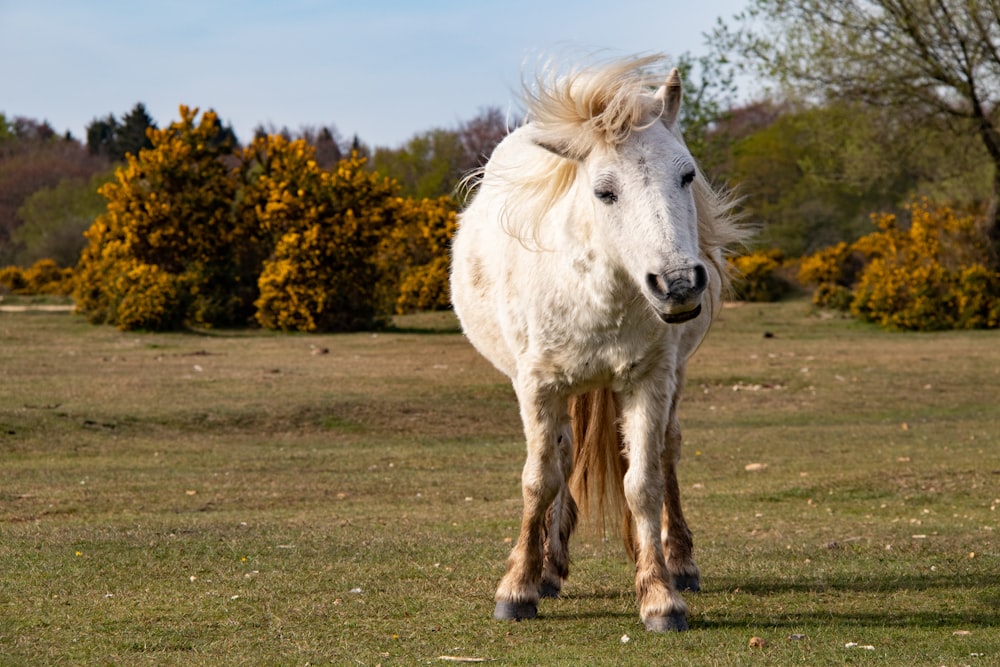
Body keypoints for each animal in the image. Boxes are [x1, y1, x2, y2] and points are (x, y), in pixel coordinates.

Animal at [450, 56, 748, 632]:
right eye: (605, 191)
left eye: (687, 174)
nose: (678, 284)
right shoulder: (538, 388)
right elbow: (539, 480)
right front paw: (518, 588)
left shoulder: (649, 381)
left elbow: (644, 483)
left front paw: (659, 597)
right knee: (562, 460)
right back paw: (548, 569)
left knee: (667, 453)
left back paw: (678, 561)